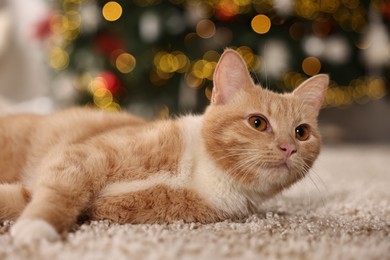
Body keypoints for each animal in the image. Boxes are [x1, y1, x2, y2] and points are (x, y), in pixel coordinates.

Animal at [0, 49, 330, 243]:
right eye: (258, 123)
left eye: (301, 132)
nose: (288, 147)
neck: (202, 172)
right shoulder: (78, 158)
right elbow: (60, 194)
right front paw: (38, 225)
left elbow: (17, 199)